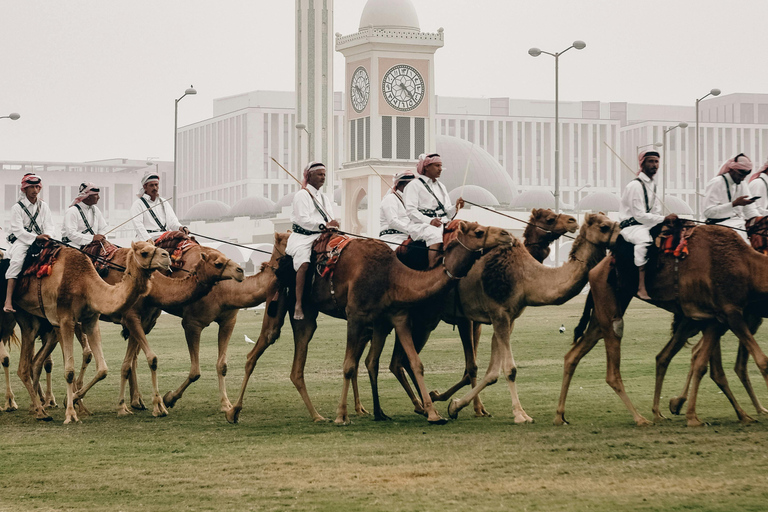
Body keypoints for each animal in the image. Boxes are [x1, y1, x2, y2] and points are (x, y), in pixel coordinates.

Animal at [13, 242, 171, 422]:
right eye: (144, 253)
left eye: (155, 246)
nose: (167, 256)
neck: (85, 284)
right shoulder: (66, 319)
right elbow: (69, 370)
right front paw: (71, 413)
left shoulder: (90, 320)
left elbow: (102, 369)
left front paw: (75, 400)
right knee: (24, 366)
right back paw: (37, 409)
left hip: (36, 321)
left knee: (32, 363)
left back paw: (37, 409)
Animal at [228, 220, 516, 424]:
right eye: (479, 231)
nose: (508, 235)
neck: (393, 274)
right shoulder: (357, 315)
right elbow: (348, 366)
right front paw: (342, 416)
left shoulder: (395, 317)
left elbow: (413, 363)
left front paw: (434, 413)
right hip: (280, 303)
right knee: (257, 350)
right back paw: (234, 412)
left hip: (308, 316)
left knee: (297, 367)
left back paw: (318, 415)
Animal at [552, 224, 768, 428]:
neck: (746, 266)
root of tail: (594, 270)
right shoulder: (731, 311)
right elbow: (762, 361)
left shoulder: (715, 318)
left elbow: (701, 364)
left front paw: (693, 416)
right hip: (608, 300)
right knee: (613, 363)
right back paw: (640, 418)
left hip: (606, 307)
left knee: (574, 354)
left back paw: (560, 416)